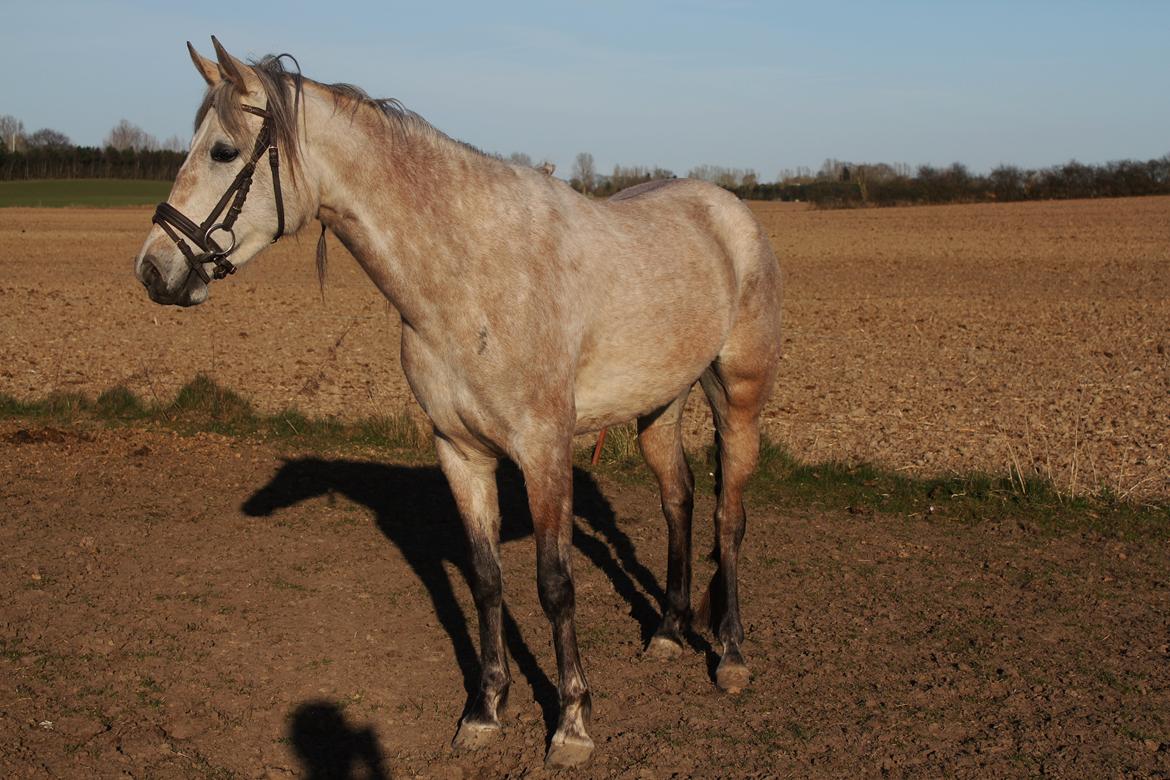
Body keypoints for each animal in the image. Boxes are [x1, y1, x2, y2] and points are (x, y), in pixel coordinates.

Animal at [132, 36, 781, 767]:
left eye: (222, 151)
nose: (153, 270)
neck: (470, 274)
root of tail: (728, 210)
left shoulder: (543, 450)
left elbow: (554, 585)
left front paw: (572, 723)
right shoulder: (462, 454)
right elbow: (486, 577)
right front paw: (485, 710)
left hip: (740, 402)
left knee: (729, 519)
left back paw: (730, 655)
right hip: (658, 409)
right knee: (679, 501)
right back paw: (669, 631)